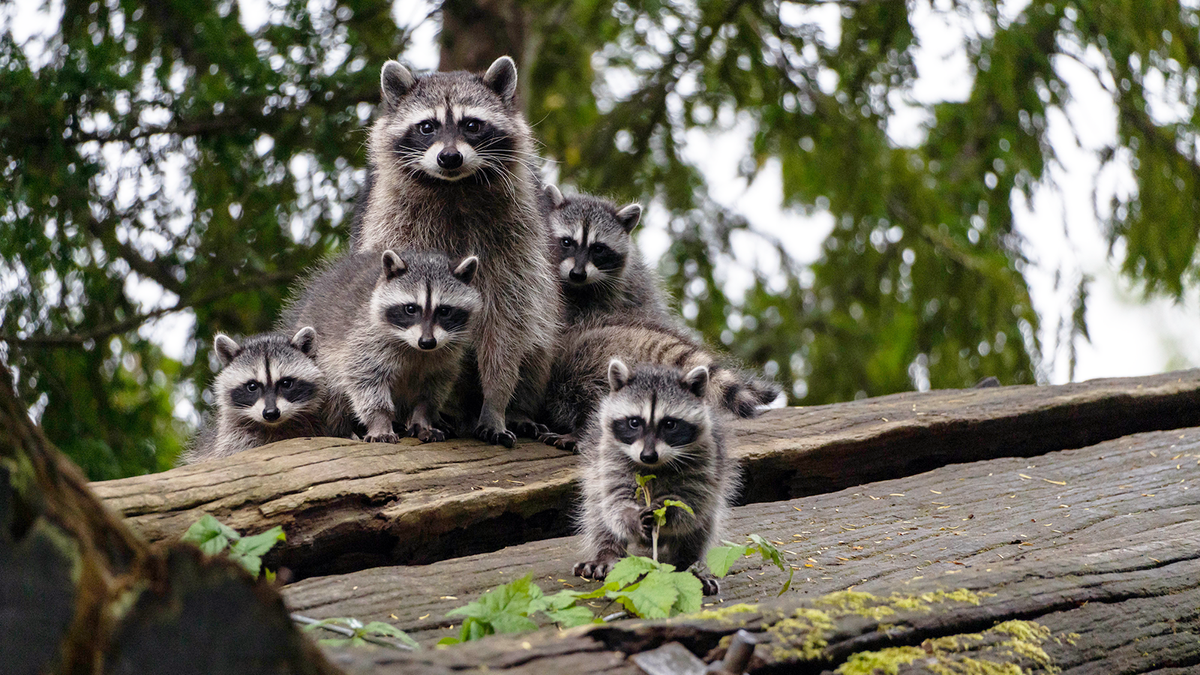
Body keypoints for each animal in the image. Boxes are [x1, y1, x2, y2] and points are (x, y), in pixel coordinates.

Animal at [284, 249, 481, 443]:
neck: (415, 349)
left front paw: (423, 420)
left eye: (444, 311)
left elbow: (431, 392)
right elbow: (366, 380)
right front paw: (380, 422)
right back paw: (344, 429)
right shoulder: (365, 339)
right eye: (410, 309)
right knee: (334, 396)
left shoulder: (445, 356)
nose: (427, 342)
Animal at [352, 56, 561, 447]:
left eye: (472, 125)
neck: (454, 188)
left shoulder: (516, 241)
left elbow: (507, 322)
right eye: (427, 126)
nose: (449, 157)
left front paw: (497, 402)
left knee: (537, 339)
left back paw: (520, 410)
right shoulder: (392, 222)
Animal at [573, 359, 738, 596]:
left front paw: (667, 510)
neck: (654, 466)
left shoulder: (706, 458)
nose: (648, 456)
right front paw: (631, 518)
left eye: (670, 424)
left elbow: (691, 504)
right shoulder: (609, 455)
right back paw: (607, 553)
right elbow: (615, 503)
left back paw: (689, 564)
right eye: (634, 422)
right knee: (597, 513)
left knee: (703, 525)